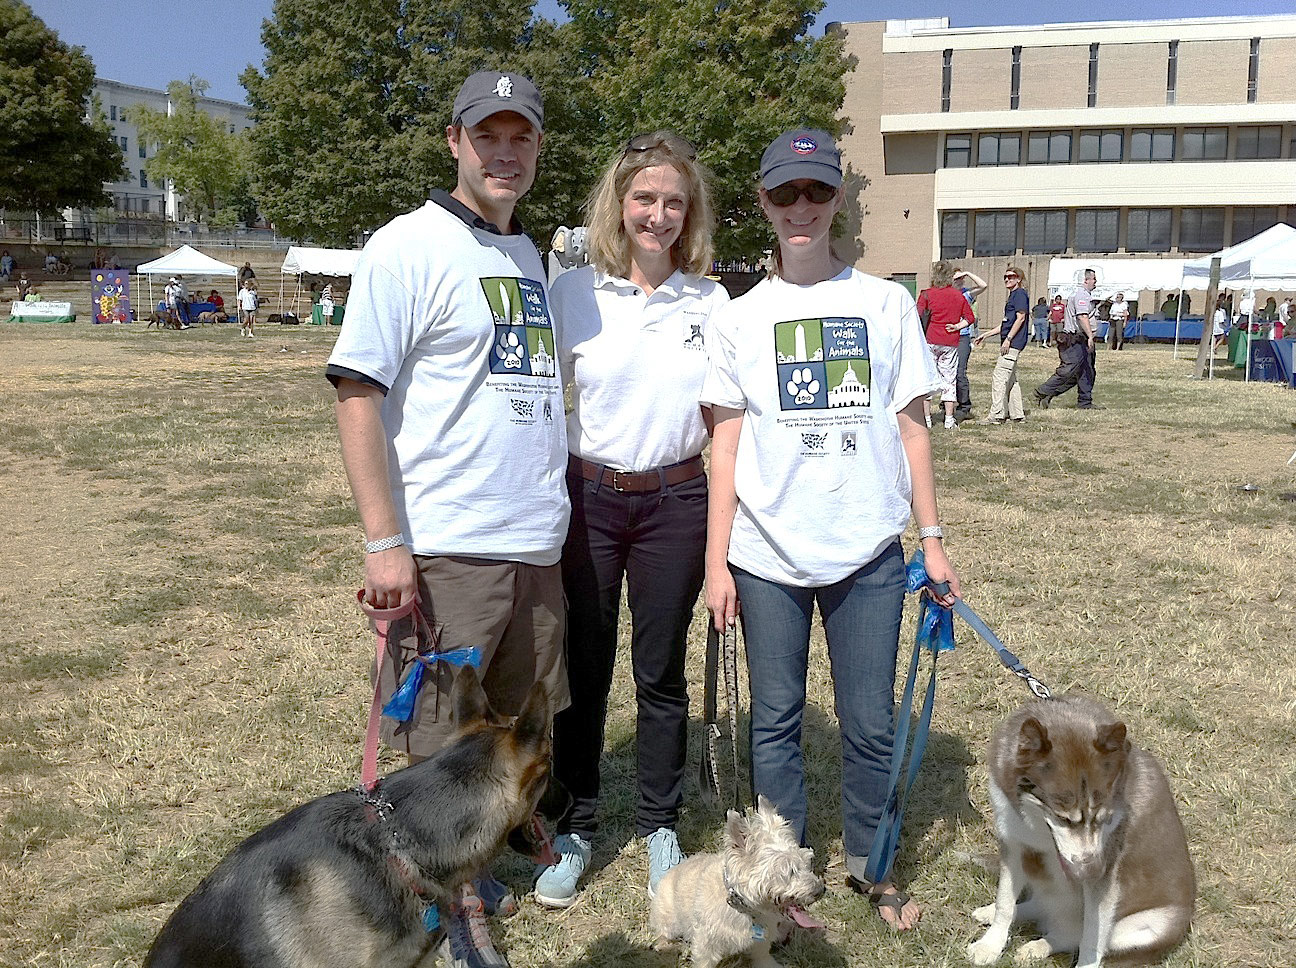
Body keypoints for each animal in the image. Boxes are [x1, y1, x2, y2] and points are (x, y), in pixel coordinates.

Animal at [653, 793, 824, 968]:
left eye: (807, 862)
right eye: (788, 871)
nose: (820, 891)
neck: (744, 909)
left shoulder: (761, 941)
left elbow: (762, 956)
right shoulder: (706, 945)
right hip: (669, 919)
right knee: (662, 933)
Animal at [969, 694, 1197, 968]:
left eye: (1103, 817)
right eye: (1062, 818)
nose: (1092, 872)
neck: (1037, 829)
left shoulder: (1106, 876)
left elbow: (1092, 939)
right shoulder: (1013, 843)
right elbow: (1005, 904)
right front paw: (990, 946)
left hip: (1152, 924)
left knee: (1073, 936)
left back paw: (1039, 946)